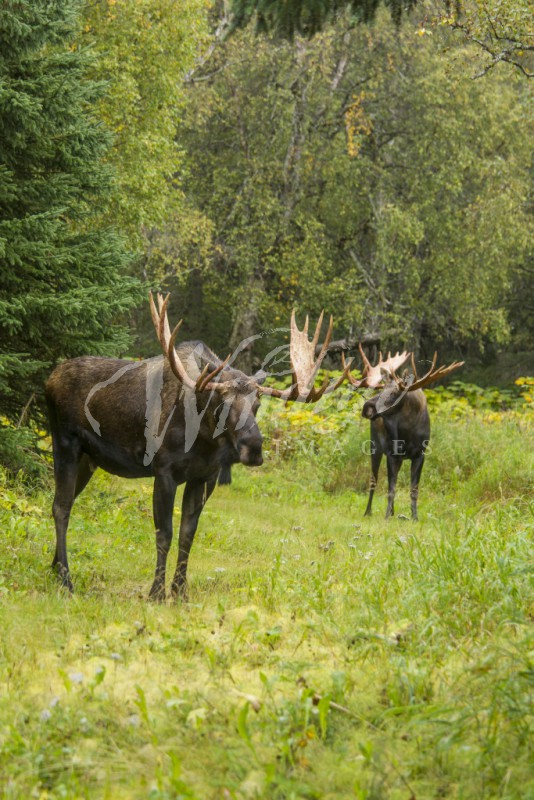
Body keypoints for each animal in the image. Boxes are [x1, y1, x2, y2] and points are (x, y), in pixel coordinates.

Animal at [45, 294, 350, 600]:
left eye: (257, 403)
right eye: (223, 403)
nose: (254, 448)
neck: (203, 440)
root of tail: (49, 379)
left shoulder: (205, 477)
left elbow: (187, 535)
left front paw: (180, 592)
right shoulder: (164, 472)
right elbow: (164, 534)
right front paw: (157, 592)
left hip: (89, 459)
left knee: (65, 502)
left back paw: (55, 567)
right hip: (65, 443)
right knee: (61, 507)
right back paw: (66, 580)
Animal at [343, 347, 464, 520]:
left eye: (395, 394)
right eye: (382, 389)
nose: (367, 407)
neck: (408, 433)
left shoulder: (420, 454)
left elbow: (413, 490)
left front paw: (414, 517)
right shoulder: (392, 454)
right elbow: (391, 489)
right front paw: (387, 516)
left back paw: (393, 512)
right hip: (375, 447)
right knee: (373, 479)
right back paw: (368, 512)